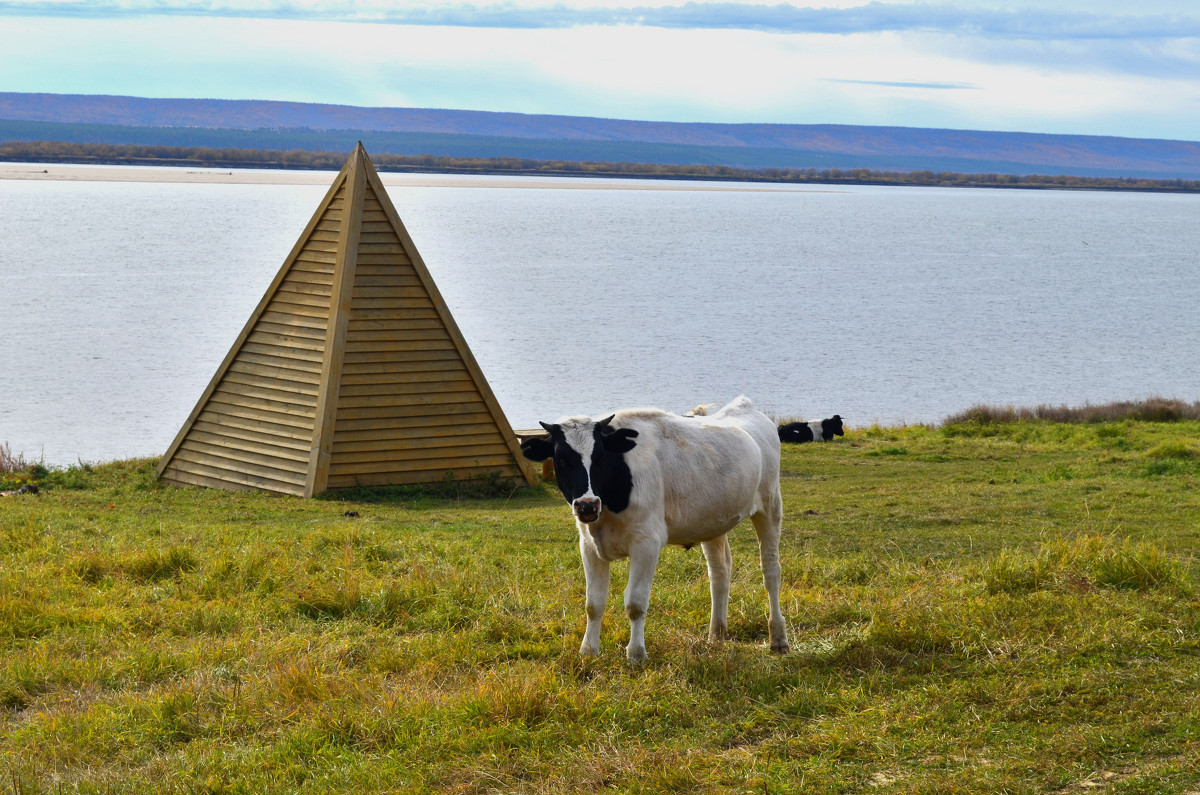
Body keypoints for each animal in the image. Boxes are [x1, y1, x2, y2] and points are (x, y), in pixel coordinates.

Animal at [518, 396, 787, 667]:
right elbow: (593, 603)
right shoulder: (589, 545)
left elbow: (635, 602)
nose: (587, 504)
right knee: (719, 572)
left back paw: (778, 638)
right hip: (713, 522)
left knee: (771, 571)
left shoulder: (647, 542)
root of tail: (744, 406)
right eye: (562, 459)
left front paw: (636, 654)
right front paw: (588, 652)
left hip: (770, 505)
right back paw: (716, 636)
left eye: (600, 456)